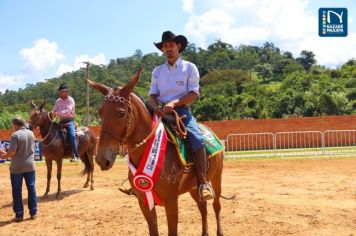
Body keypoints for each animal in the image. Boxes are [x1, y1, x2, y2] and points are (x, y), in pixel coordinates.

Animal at [88, 69, 222, 235]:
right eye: (100, 112)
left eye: (120, 113)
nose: (102, 159)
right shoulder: (144, 202)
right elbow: (153, 230)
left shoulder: (171, 202)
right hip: (193, 187)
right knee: (202, 207)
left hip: (216, 178)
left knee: (216, 206)